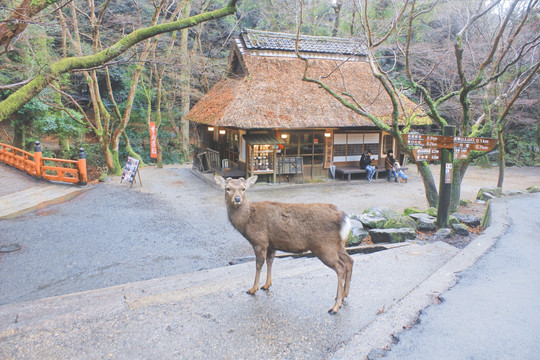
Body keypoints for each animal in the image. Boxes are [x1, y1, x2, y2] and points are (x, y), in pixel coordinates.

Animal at [215, 175, 354, 316]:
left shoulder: (260, 241)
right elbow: (270, 261)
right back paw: (344, 295)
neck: (246, 222)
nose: (237, 199)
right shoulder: (272, 244)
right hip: (339, 245)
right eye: (228, 188)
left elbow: (259, 265)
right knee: (349, 260)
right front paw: (266, 285)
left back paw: (335, 306)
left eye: (243, 188)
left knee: (340, 267)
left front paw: (253, 288)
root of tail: (343, 217)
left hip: (324, 246)